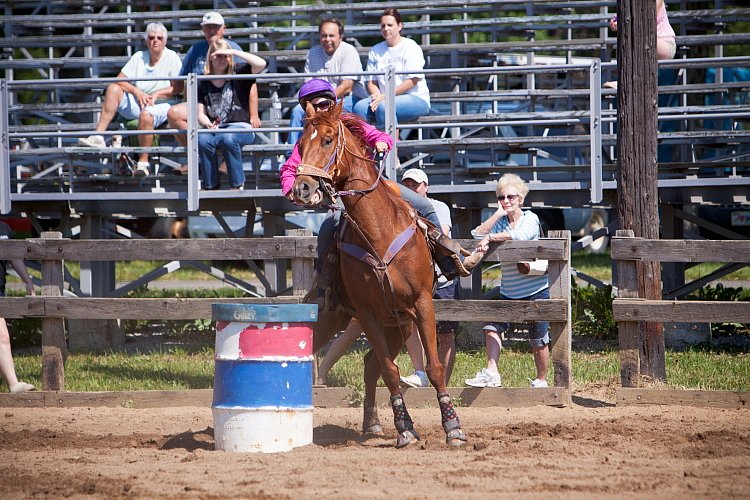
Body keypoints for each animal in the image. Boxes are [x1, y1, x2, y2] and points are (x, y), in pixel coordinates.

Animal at [290, 102, 468, 450]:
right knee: (363, 360)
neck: (379, 233)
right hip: (338, 316)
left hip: (399, 324)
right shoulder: (367, 313)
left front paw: (452, 426)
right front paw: (404, 429)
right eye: (300, 145)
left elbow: (434, 367)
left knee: (370, 364)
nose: (303, 188)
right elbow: (390, 370)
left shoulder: (422, 304)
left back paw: (372, 423)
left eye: (328, 140)